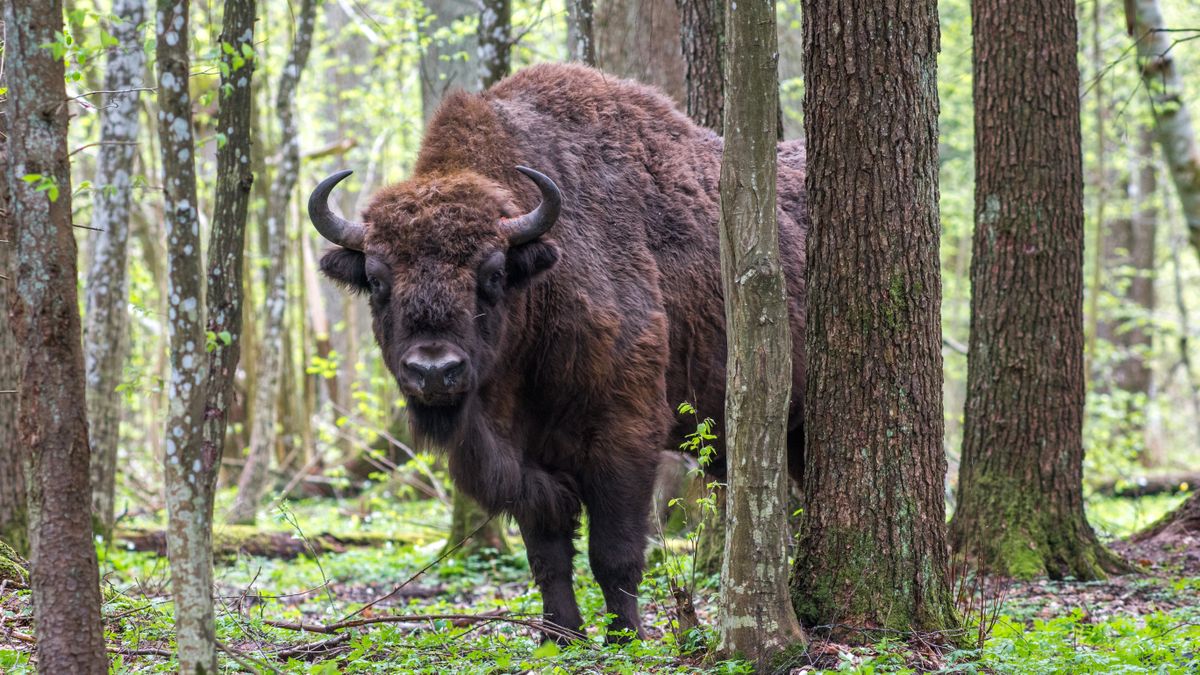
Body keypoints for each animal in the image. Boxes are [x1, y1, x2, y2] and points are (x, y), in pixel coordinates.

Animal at [309, 64, 806, 638]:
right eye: (376, 280)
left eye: (493, 274)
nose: (434, 372)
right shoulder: (526, 461)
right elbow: (547, 554)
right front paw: (561, 634)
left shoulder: (625, 436)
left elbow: (613, 552)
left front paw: (626, 635)